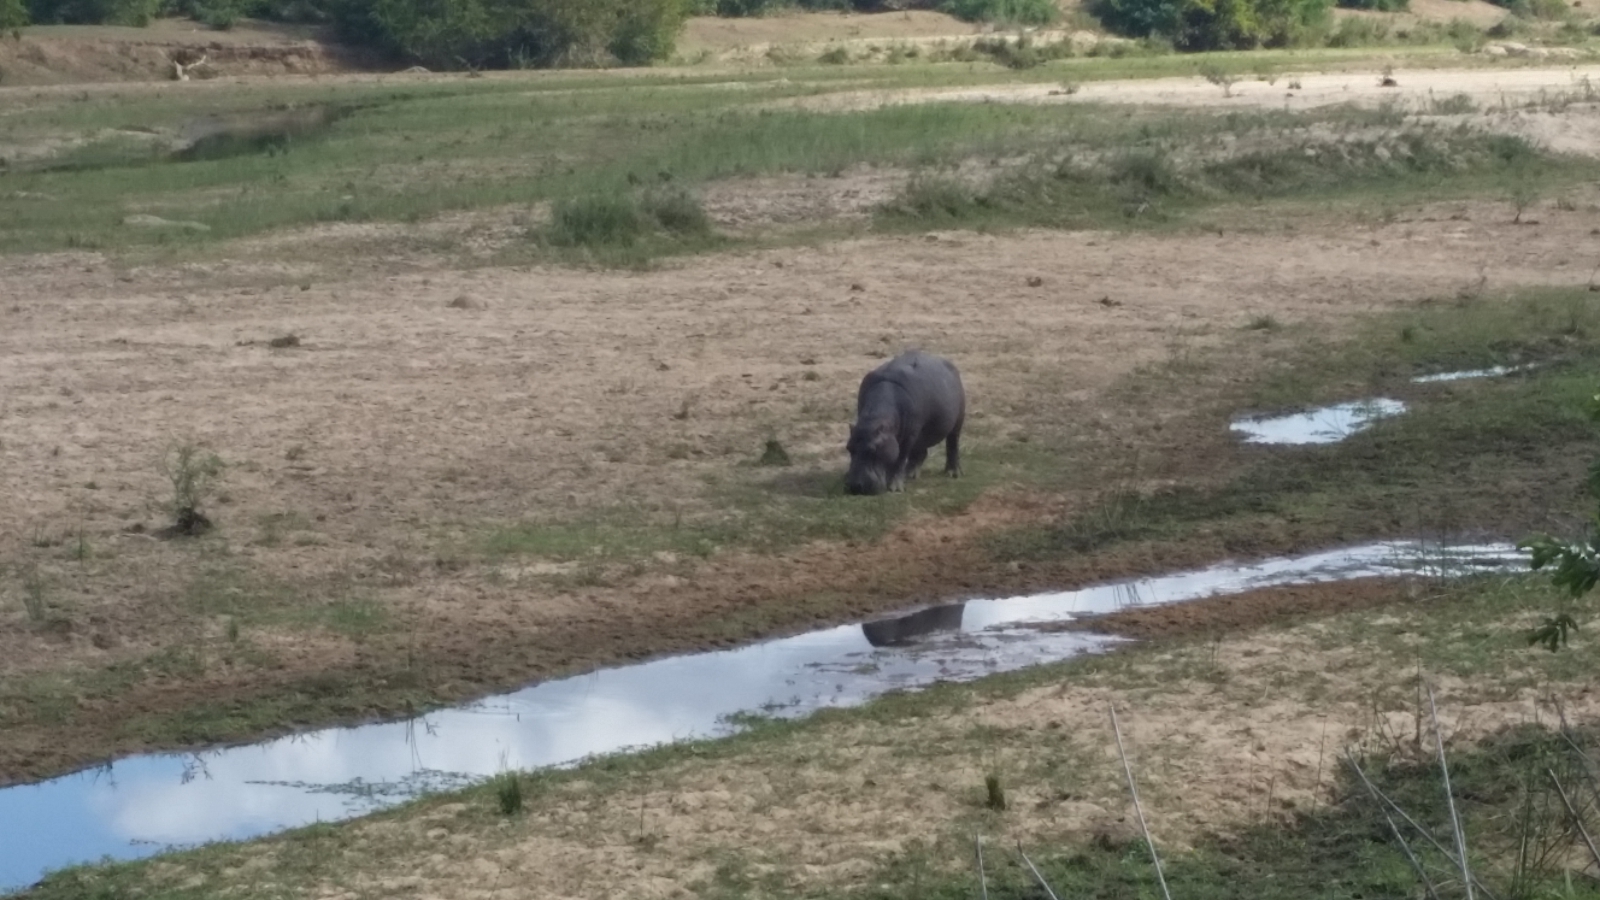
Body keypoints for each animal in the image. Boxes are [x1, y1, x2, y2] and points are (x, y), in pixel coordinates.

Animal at [845, 350, 965, 496]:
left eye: (873, 449)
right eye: (849, 447)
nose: (856, 486)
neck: (874, 418)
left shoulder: (909, 436)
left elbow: (900, 459)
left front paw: (895, 488)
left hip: (957, 421)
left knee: (952, 444)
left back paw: (953, 473)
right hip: (921, 434)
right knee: (920, 453)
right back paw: (910, 474)